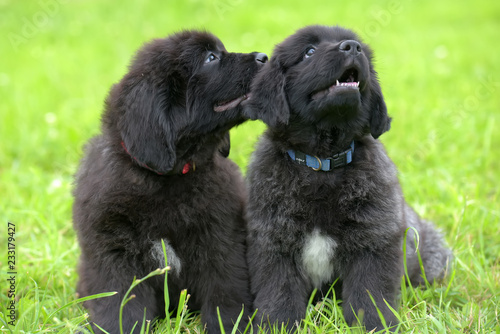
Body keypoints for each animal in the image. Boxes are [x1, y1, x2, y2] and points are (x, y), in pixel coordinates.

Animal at [72, 30, 268, 332]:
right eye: (211, 57)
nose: (265, 57)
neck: (169, 178)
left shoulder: (222, 240)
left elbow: (226, 292)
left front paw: (227, 325)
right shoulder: (113, 252)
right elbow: (121, 303)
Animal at [244, 25, 452, 332]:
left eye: (361, 49)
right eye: (309, 51)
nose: (352, 47)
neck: (323, 164)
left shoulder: (372, 242)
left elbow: (370, 296)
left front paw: (376, 325)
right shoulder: (273, 242)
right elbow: (278, 295)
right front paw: (276, 326)